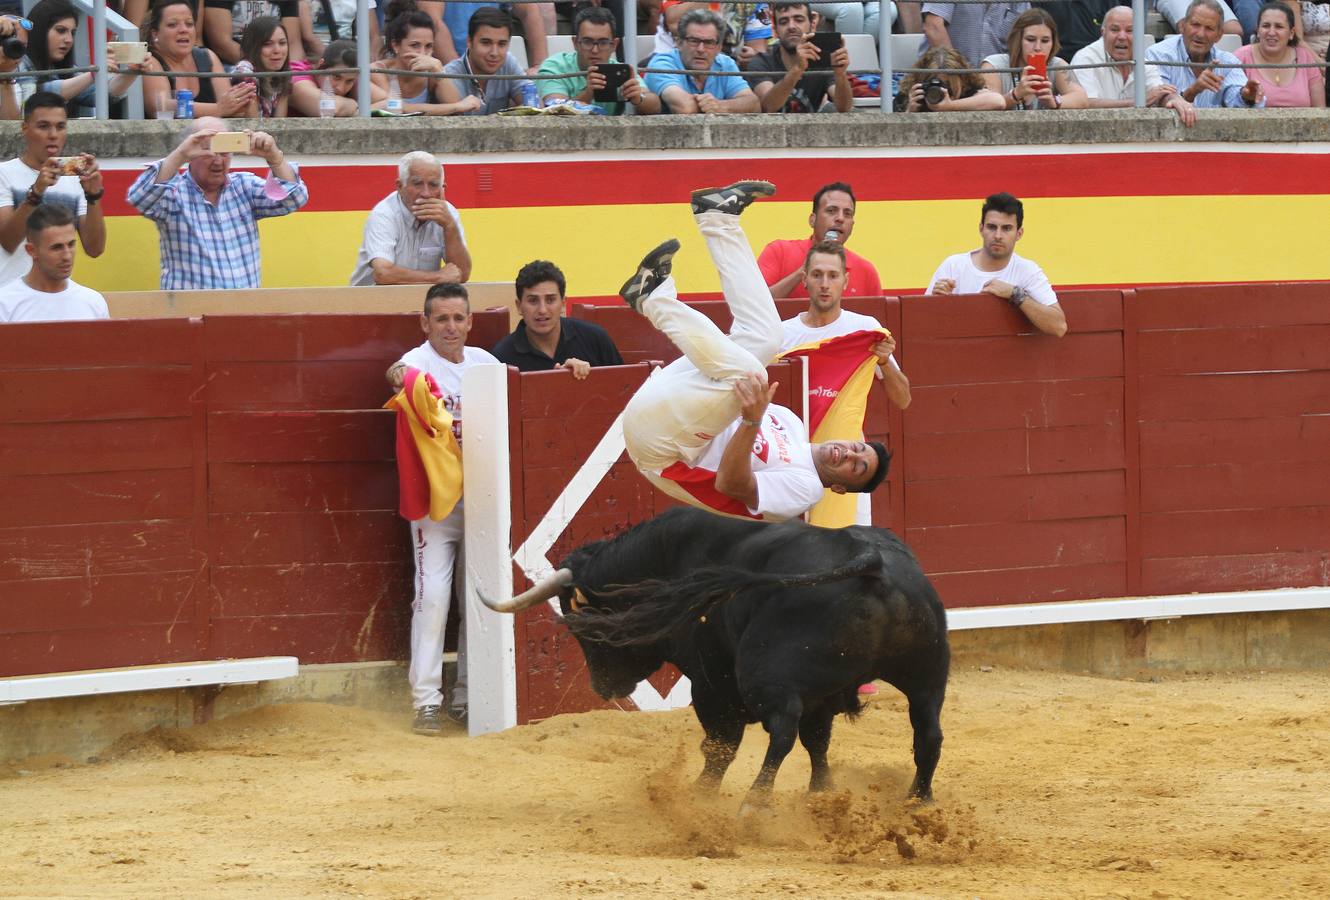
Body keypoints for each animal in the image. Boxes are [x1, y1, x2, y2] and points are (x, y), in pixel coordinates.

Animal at [484, 505, 952, 808]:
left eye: (581, 626)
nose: (603, 687)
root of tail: (871, 563)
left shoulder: (711, 684)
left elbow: (721, 745)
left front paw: (700, 796)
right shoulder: (820, 694)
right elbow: (817, 741)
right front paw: (822, 793)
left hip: (765, 675)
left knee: (781, 729)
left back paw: (754, 802)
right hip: (928, 674)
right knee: (928, 733)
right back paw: (919, 800)